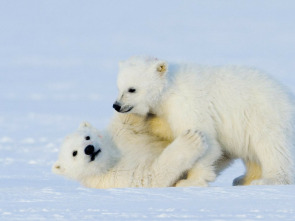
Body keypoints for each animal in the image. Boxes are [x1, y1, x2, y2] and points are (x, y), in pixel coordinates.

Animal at [52, 114, 207, 188]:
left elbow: (128, 120)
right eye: (74, 153)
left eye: (87, 136)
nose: (89, 148)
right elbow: (150, 176)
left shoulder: (120, 133)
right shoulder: (115, 178)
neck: (112, 158)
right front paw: (192, 139)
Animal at [113, 56, 295, 186]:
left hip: (264, 116)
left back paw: (269, 179)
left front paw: (189, 181)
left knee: (271, 147)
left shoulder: (187, 104)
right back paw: (243, 179)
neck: (169, 88)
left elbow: (207, 141)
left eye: (132, 89)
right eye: (119, 87)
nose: (116, 105)